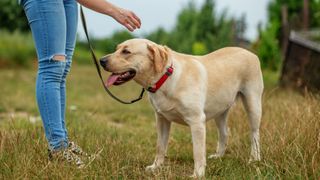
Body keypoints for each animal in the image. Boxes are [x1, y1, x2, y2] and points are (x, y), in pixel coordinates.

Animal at [99, 38, 262, 177]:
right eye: (117, 49)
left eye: (126, 51)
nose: (101, 61)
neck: (165, 78)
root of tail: (251, 53)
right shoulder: (161, 119)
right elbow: (160, 146)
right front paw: (155, 167)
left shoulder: (197, 121)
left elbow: (198, 152)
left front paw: (198, 174)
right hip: (220, 110)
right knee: (224, 133)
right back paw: (218, 156)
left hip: (253, 104)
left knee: (254, 134)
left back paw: (254, 159)